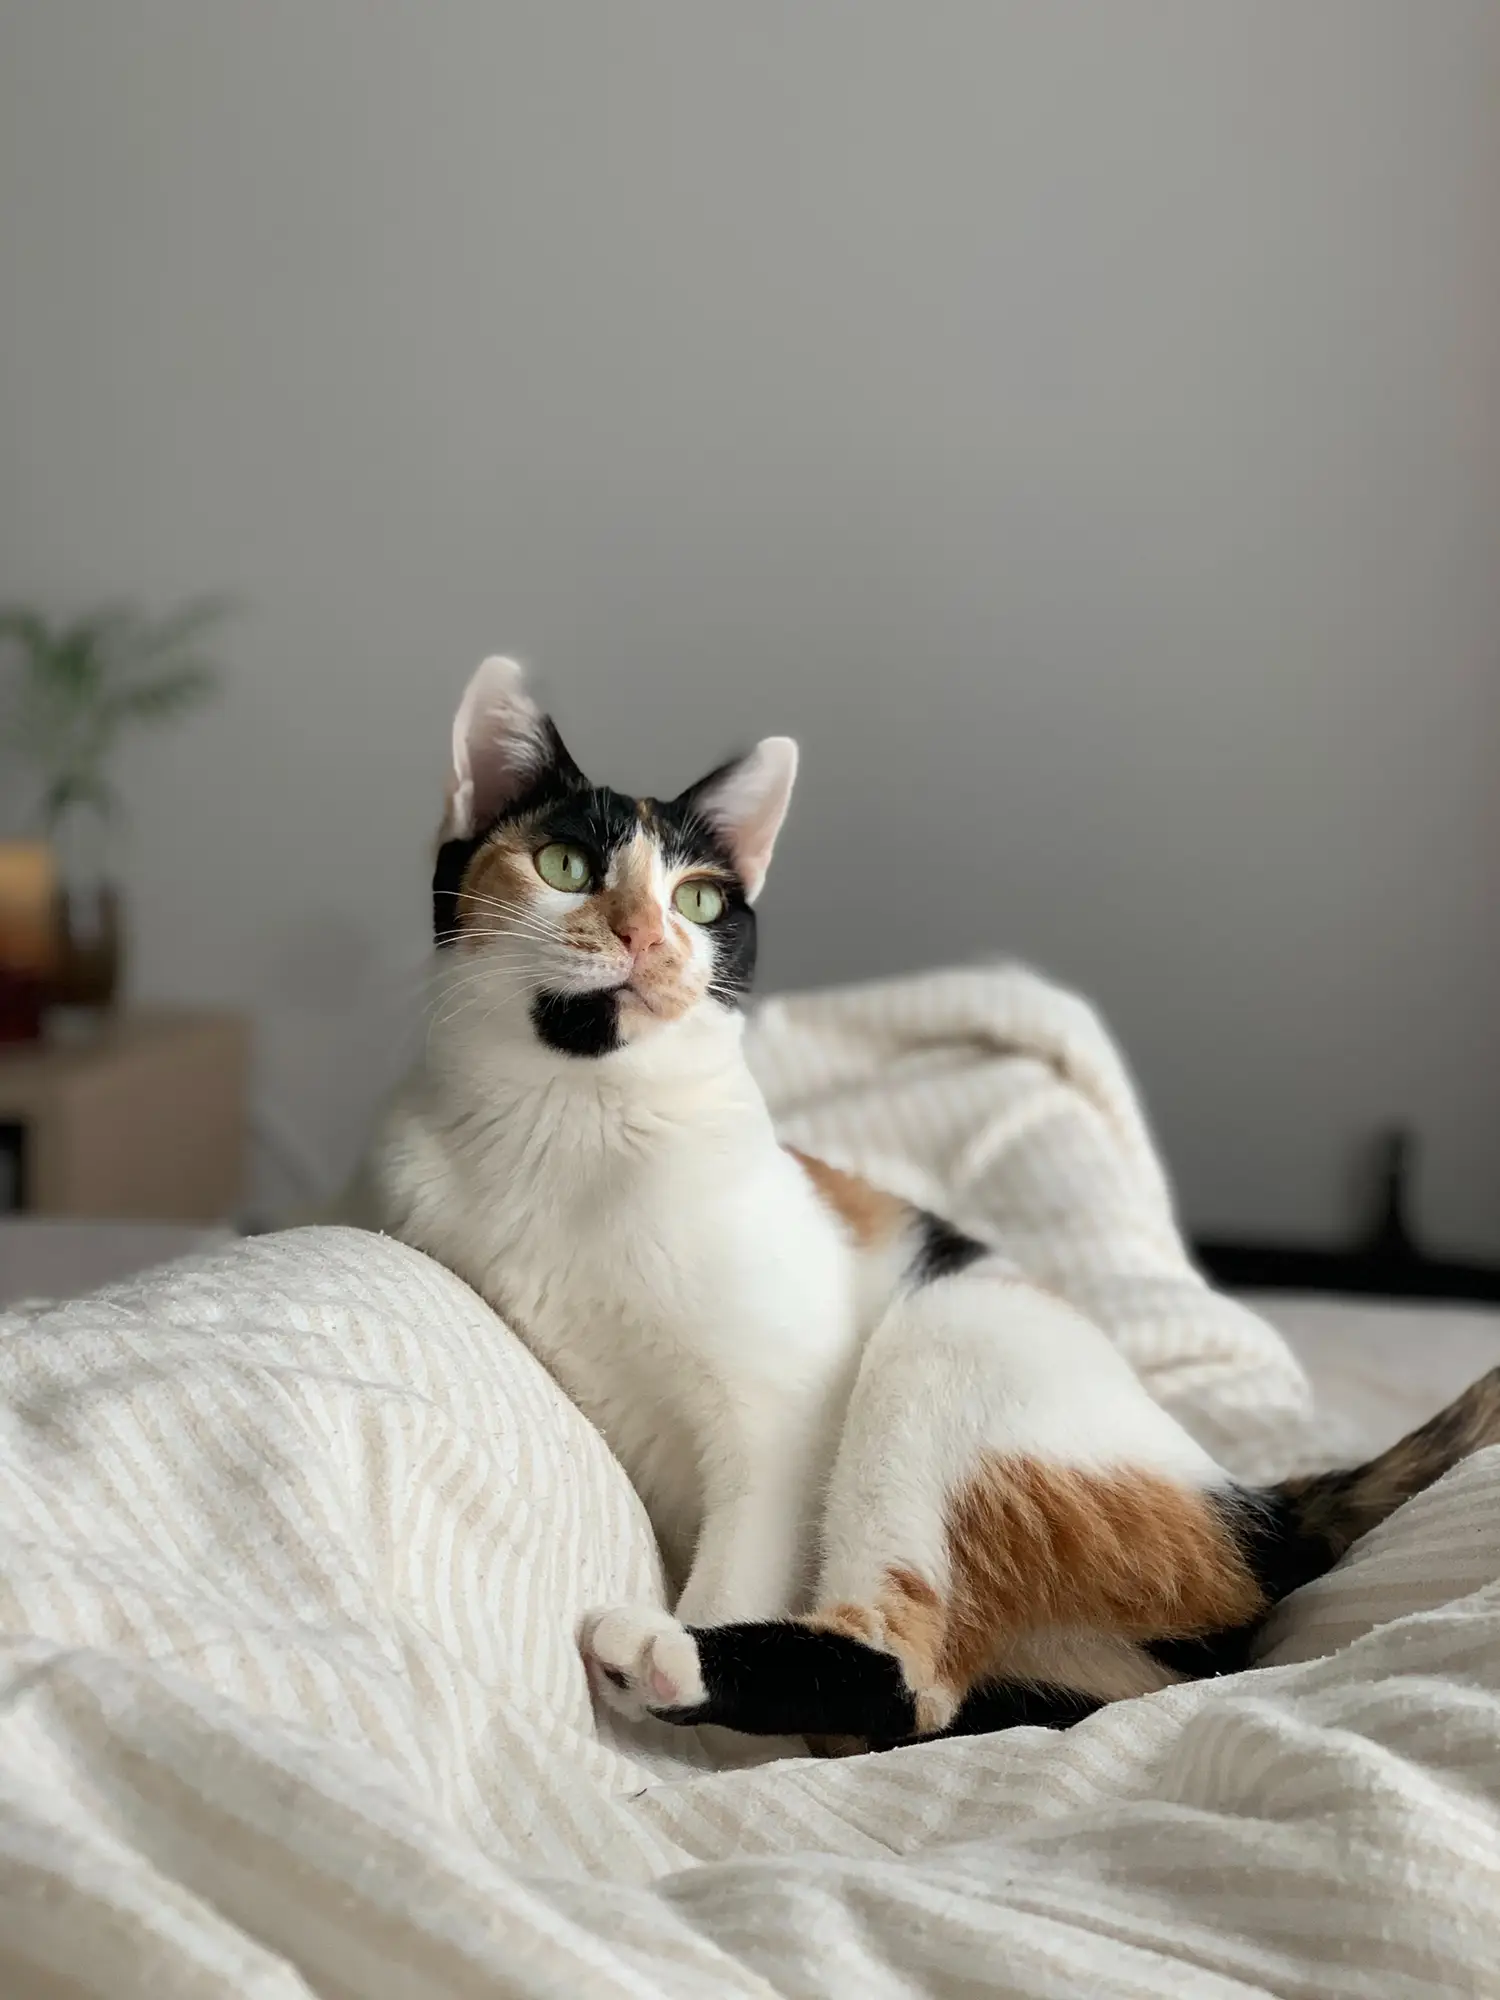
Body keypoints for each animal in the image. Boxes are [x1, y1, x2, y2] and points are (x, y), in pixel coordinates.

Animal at [364, 660, 1500, 1752]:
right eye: (565, 866)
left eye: (699, 902)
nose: (649, 937)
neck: (573, 1124)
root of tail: (1253, 1505)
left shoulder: (780, 1412)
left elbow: (745, 1549)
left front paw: (701, 1771)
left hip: (949, 1334)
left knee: (909, 1673)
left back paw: (662, 1657)